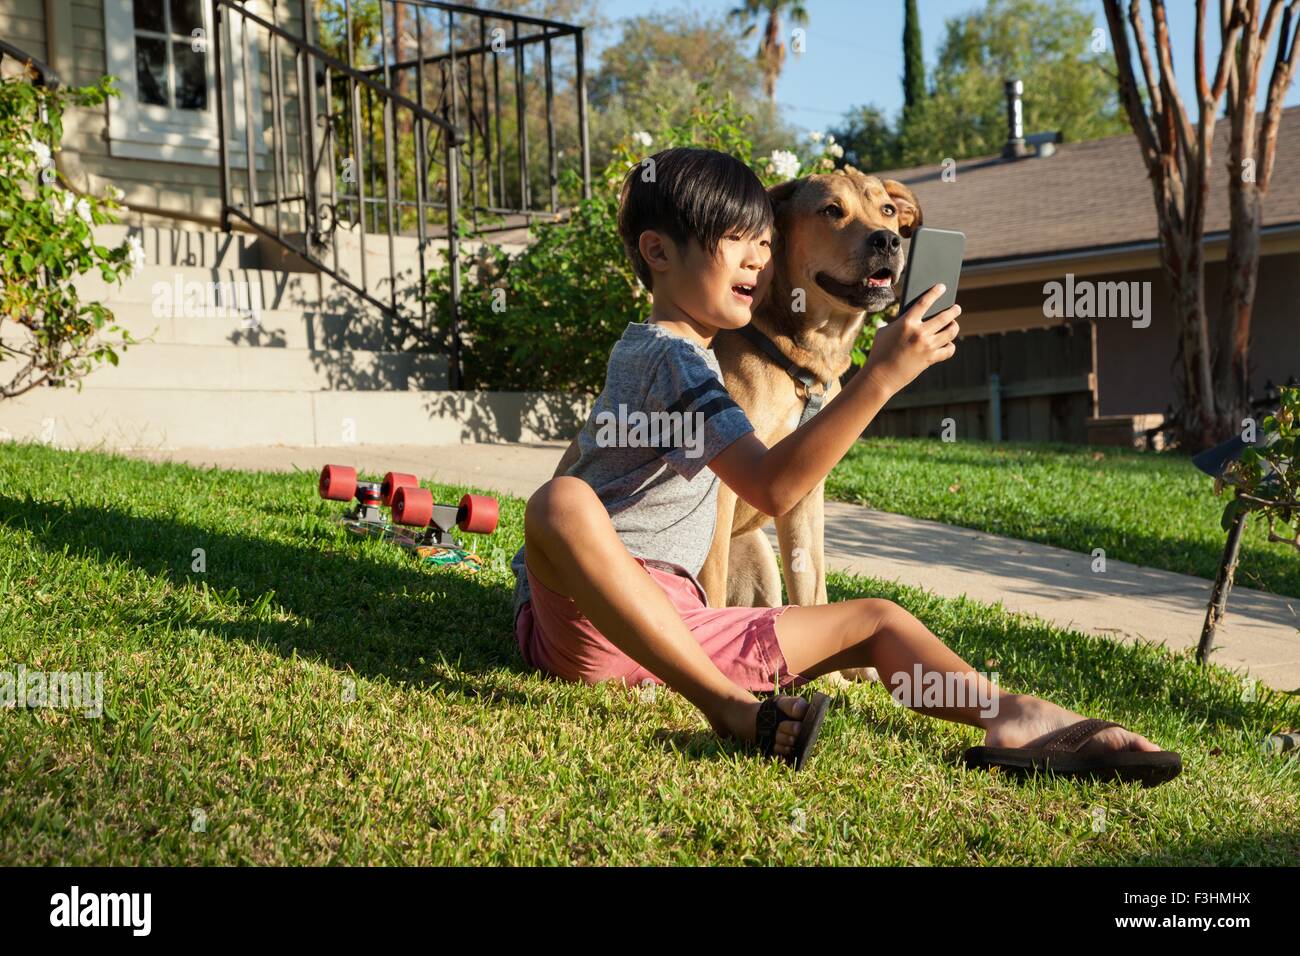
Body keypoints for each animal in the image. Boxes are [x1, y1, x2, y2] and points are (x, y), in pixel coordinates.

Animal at [702, 167, 925, 660]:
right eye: (831, 210)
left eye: (886, 210)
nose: (888, 240)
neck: (800, 363)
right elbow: (708, 585)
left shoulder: (804, 496)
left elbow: (813, 590)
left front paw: (837, 671)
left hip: (759, 558)